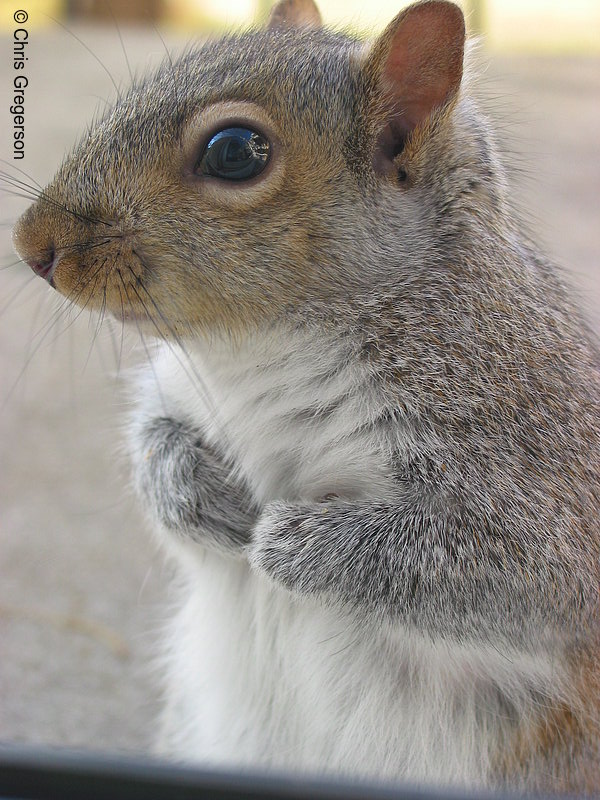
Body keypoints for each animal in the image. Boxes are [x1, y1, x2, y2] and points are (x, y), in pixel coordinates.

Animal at [11, 0, 600, 792]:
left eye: (234, 151)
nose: (30, 245)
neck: (257, 348)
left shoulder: (531, 449)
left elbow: (525, 576)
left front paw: (291, 542)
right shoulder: (178, 387)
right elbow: (151, 437)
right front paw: (191, 492)